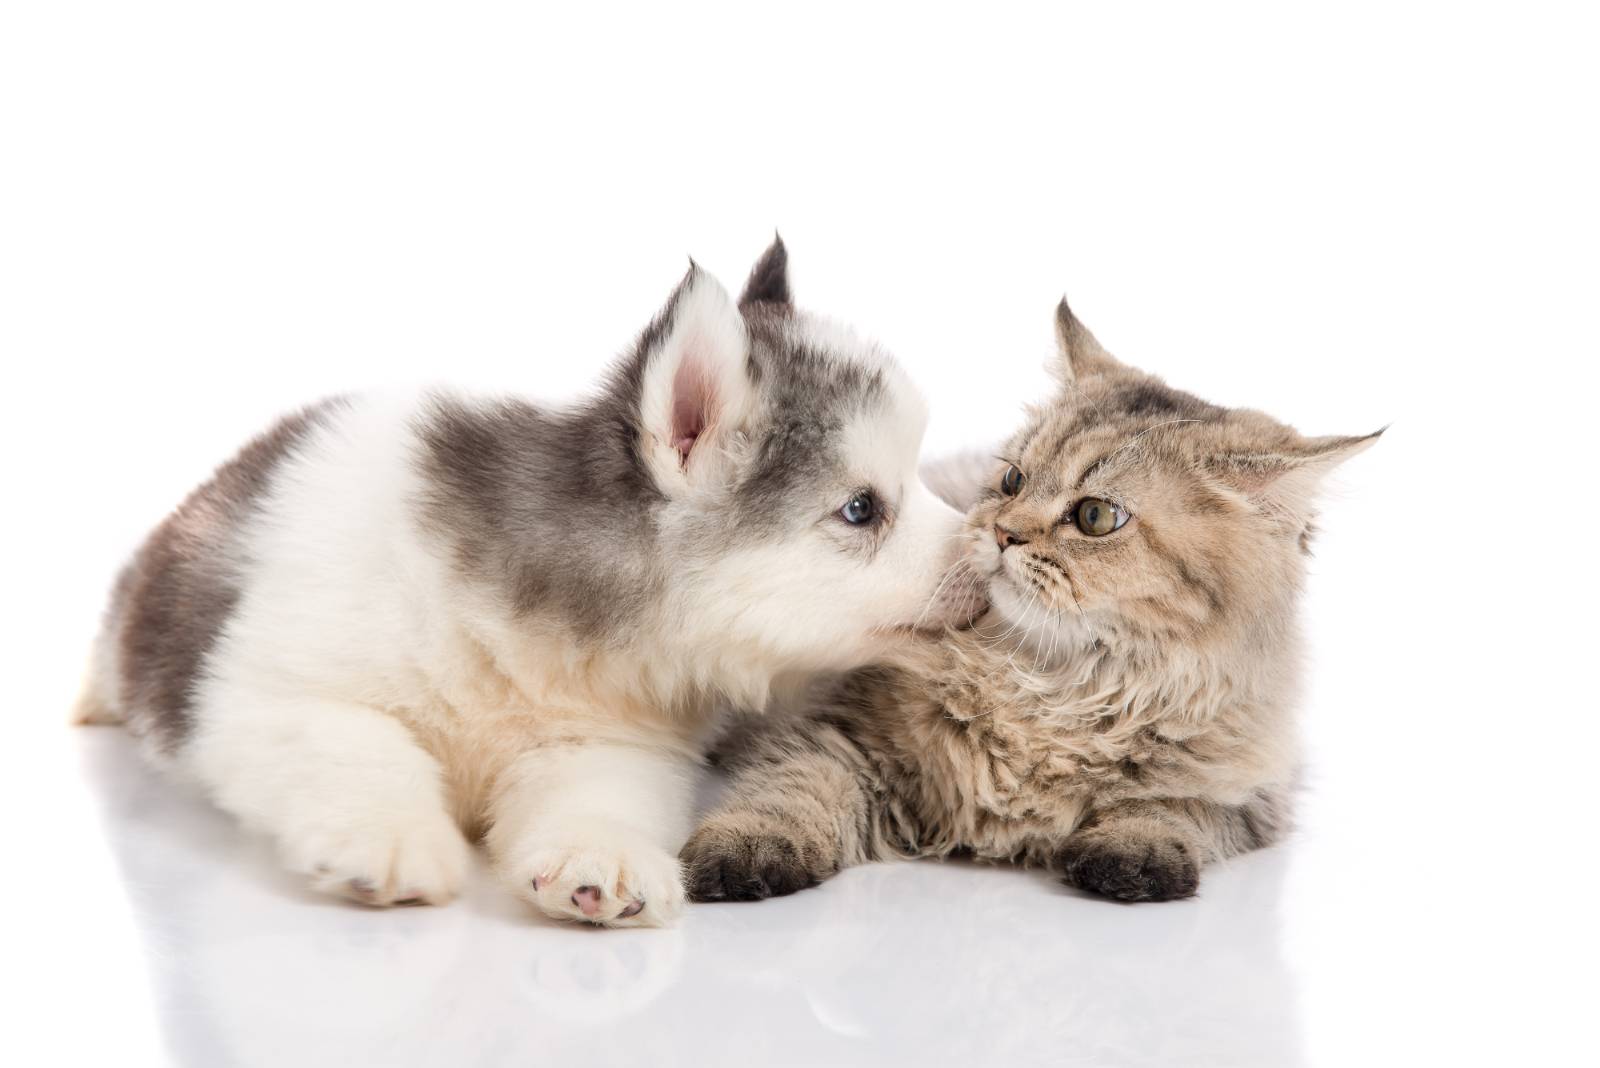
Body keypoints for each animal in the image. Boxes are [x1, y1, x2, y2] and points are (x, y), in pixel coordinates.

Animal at [81, 241, 979, 927]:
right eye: (861, 508)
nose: (987, 546)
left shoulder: (608, 743)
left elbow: (596, 800)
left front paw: (599, 856)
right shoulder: (269, 695)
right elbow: (366, 750)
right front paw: (389, 837)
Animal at [678, 300, 1376, 901]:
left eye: (1096, 517)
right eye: (1013, 479)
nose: (1002, 533)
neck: (1051, 691)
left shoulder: (1252, 792)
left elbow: (1173, 805)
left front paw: (1134, 853)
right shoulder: (834, 730)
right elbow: (794, 788)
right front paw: (747, 849)